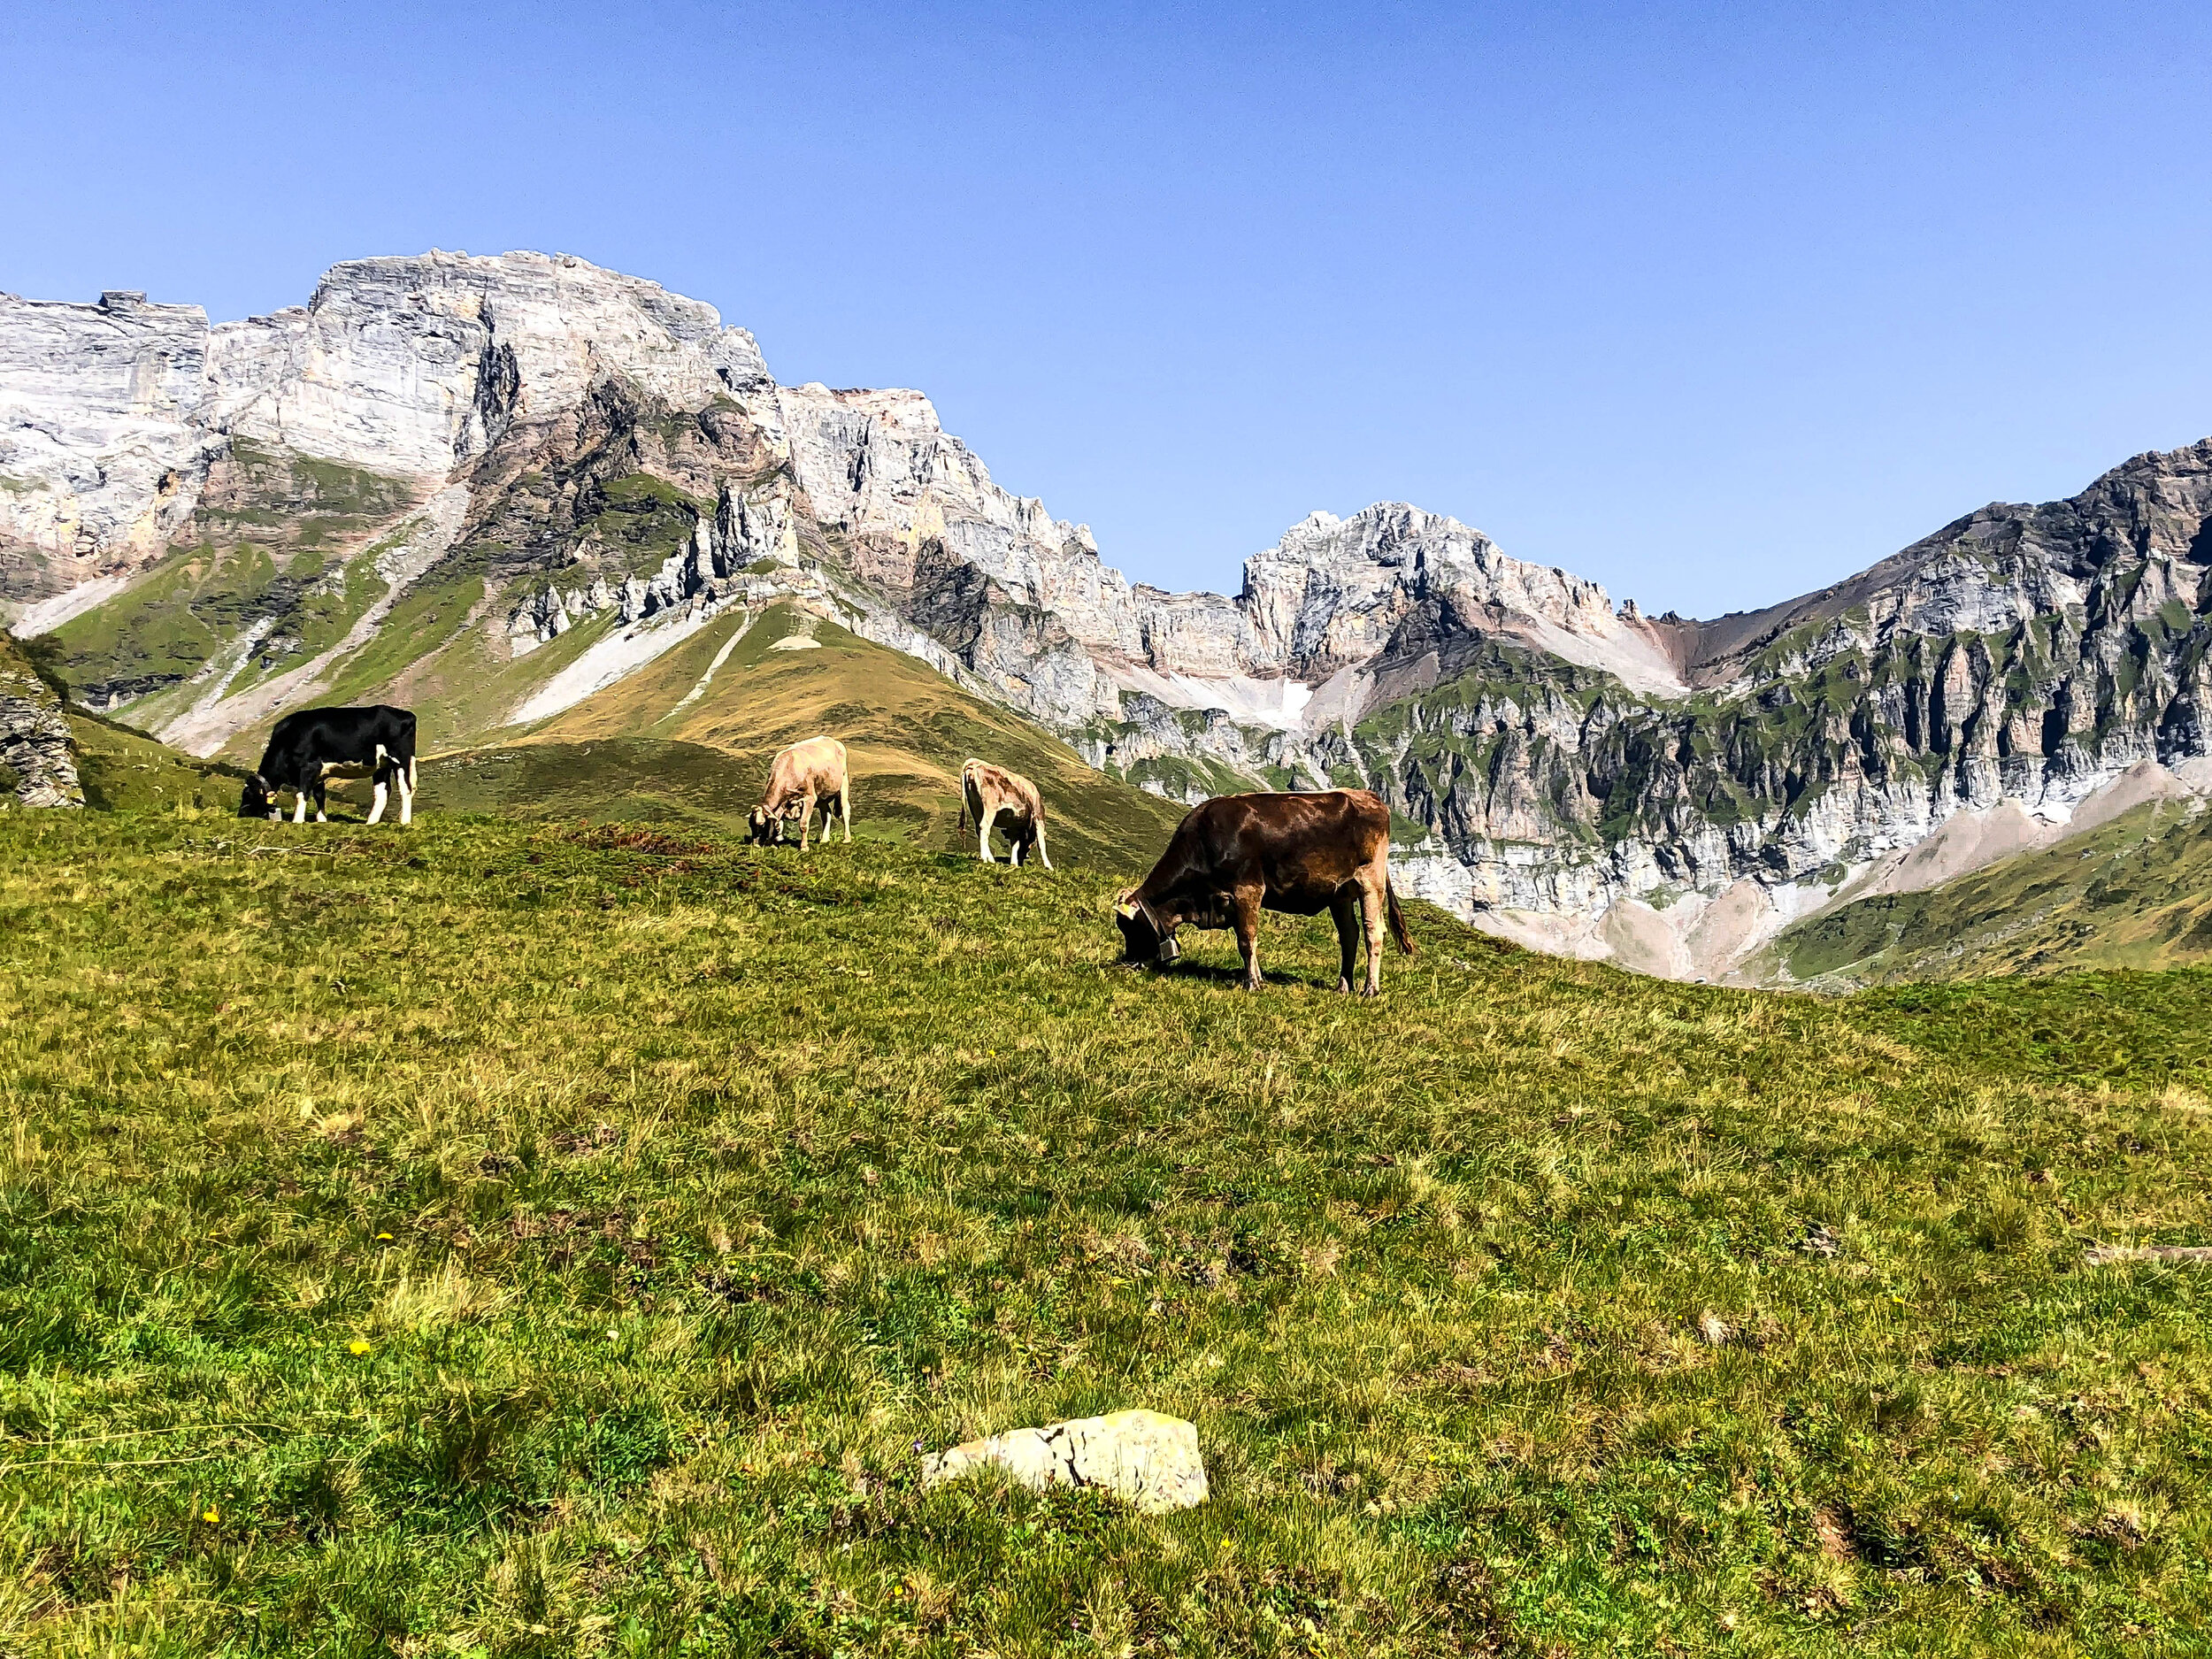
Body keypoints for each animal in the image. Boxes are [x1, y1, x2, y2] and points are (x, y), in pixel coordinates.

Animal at [240, 705, 418, 826]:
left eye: (248, 794)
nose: (240, 814)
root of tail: (406, 715)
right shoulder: (319, 774)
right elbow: (320, 796)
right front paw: (321, 820)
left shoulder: (308, 767)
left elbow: (301, 794)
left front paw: (297, 821)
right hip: (381, 765)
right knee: (382, 793)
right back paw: (370, 823)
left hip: (400, 760)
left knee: (406, 789)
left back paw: (404, 821)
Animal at [748, 735, 851, 851]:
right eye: (750, 825)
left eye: (761, 824)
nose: (755, 845)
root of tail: (833, 741)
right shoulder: (783, 803)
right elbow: (777, 823)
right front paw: (774, 845)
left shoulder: (809, 798)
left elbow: (803, 824)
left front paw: (804, 847)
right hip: (821, 796)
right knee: (826, 814)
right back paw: (824, 840)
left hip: (843, 784)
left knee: (845, 811)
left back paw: (847, 839)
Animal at [1114, 789, 1415, 995]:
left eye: (1131, 928)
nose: (1128, 963)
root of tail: (1367, 795)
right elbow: (1247, 939)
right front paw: (1258, 978)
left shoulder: (1248, 890)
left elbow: (1246, 940)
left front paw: (1252, 984)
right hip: (1339, 893)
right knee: (1349, 935)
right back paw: (1344, 985)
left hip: (1370, 881)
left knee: (1373, 932)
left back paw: (1369, 989)